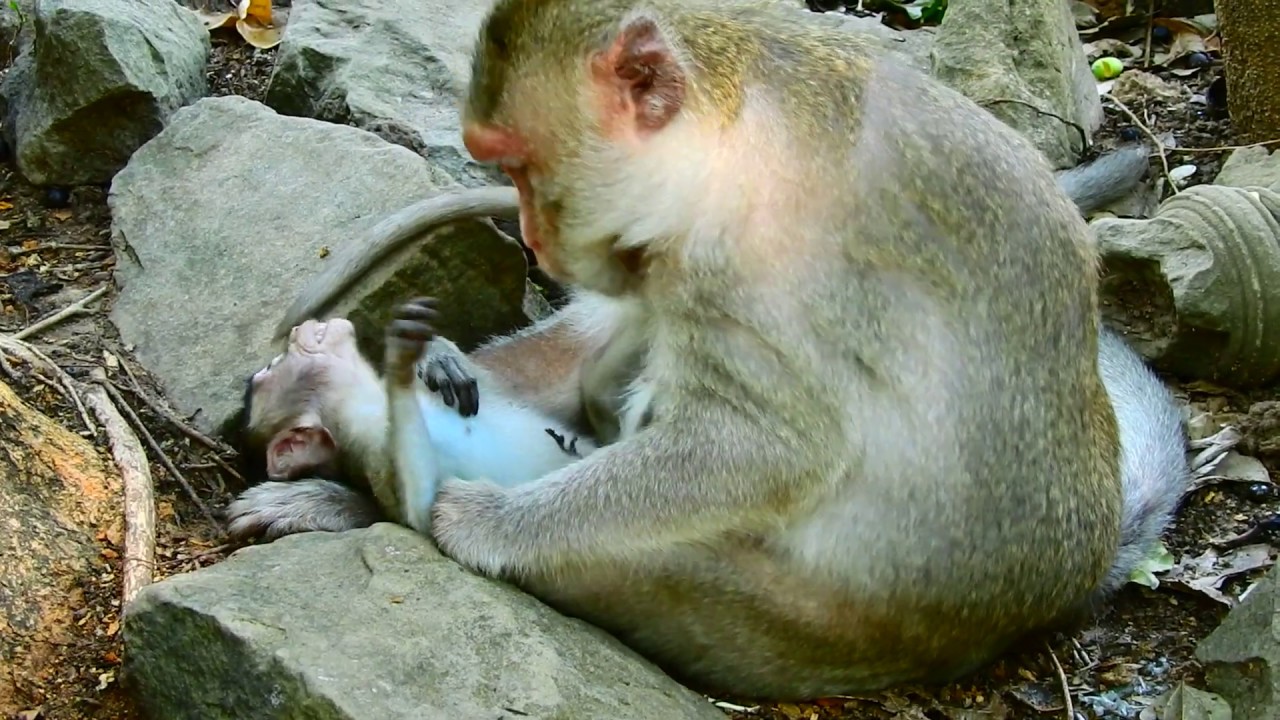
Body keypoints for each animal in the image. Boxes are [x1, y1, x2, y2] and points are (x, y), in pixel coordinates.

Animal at [224, 309, 598, 541]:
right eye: (269, 369)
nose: (296, 331)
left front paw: (429, 352)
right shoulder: (373, 450)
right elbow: (419, 508)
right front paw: (402, 357)